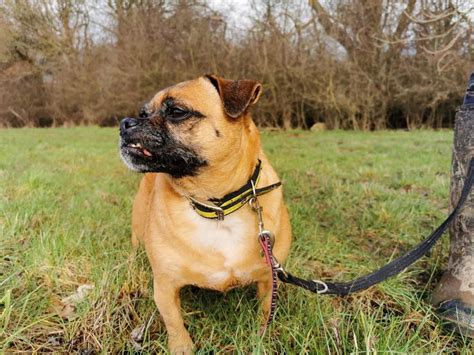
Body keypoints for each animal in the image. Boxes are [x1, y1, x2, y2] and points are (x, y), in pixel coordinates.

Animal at [118, 75, 292, 354]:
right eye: (143, 113)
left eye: (177, 112)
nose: (125, 123)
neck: (217, 206)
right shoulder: (165, 287)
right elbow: (174, 322)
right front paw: (181, 347)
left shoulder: (268, 280)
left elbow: (265, 311)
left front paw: (262, 337)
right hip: (137, 232)